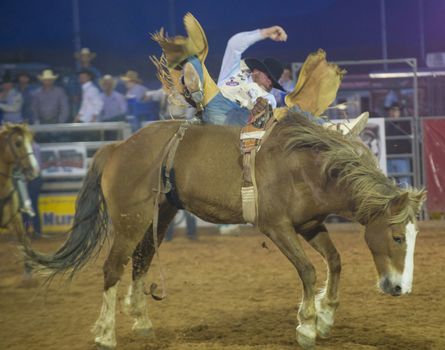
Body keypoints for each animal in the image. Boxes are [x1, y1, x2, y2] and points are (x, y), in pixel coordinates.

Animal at [22, 113, 424, 350]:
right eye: (397, 237)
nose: (399, 288)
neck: (307, 167)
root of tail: (118, 146)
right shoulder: (277, 227)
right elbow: (309, 270)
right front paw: (307, 326)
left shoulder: (309, 225)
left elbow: (335, 261)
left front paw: (325, 317)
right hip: (129, 219)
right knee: (113, 268)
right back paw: (106, 333)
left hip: (159, 217)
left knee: (141, 261)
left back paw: (142, 323)